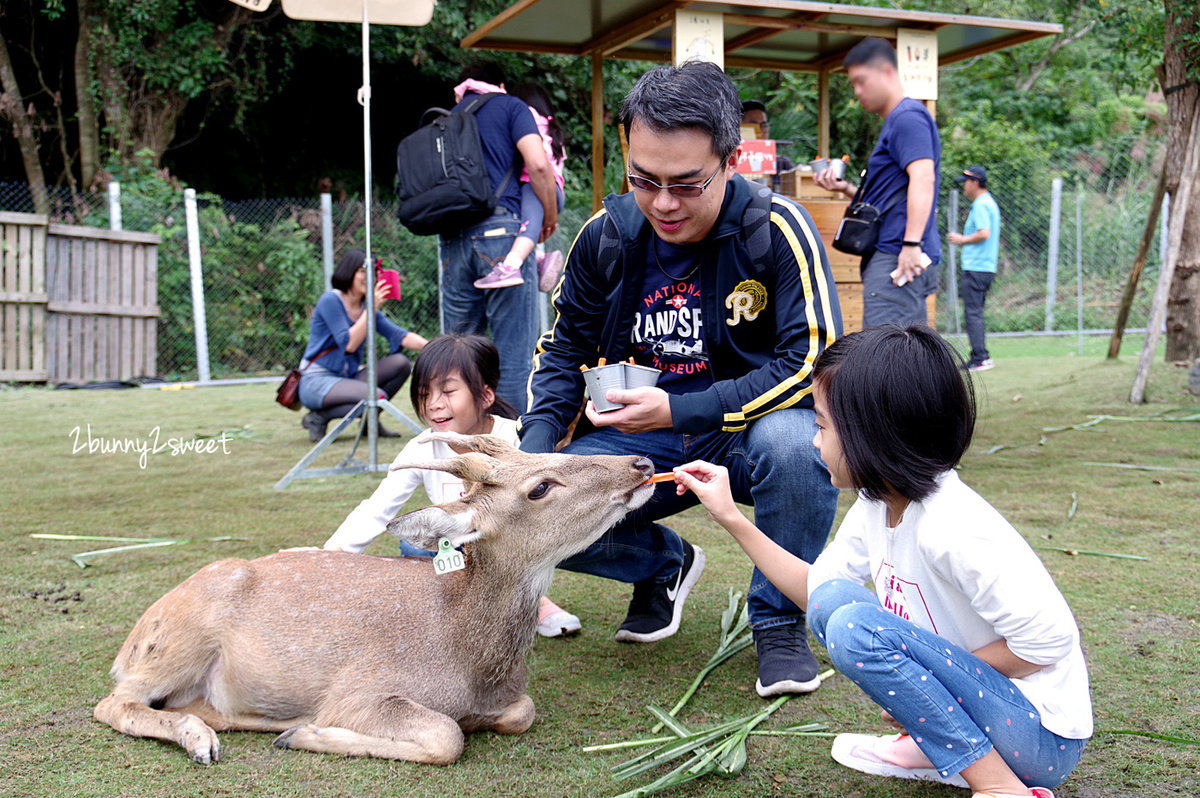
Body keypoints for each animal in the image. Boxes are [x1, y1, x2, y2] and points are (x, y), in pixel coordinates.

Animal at [93, 432, 657, 763]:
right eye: (540, 486)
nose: (641, 462)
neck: (472, 665)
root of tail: (129, 643)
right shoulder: (359, 690)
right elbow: (447, 737)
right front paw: (305, 734)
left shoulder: (512, 701)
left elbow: (523, 711)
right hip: (181, 638)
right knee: (114, 702)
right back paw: (203, 739)